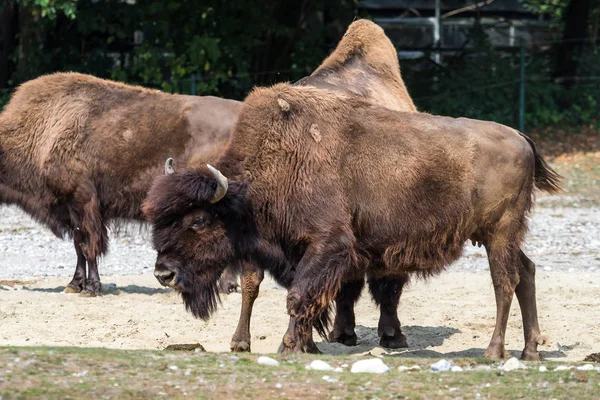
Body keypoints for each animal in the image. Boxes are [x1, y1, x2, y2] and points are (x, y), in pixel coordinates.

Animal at [1, 73, 244, 296]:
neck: (43, 128)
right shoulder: (72, 210)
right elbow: (78, 246)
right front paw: (74, 285)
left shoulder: (83, 203)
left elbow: (88, 246)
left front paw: (91, 287)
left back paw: (224, 286)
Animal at [143, 81, 560, 360]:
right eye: (159, 220)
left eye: (198, 221)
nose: (164, 273)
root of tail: (521, 137)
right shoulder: (302, 252)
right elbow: (310, 298)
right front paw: (305, 345)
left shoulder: (329, 244)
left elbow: (299, 296)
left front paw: (290, 347)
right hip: (501, 236)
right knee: (527, 272)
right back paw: (530, 351)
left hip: (499, 234)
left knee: (505, 282)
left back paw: (494, 351)